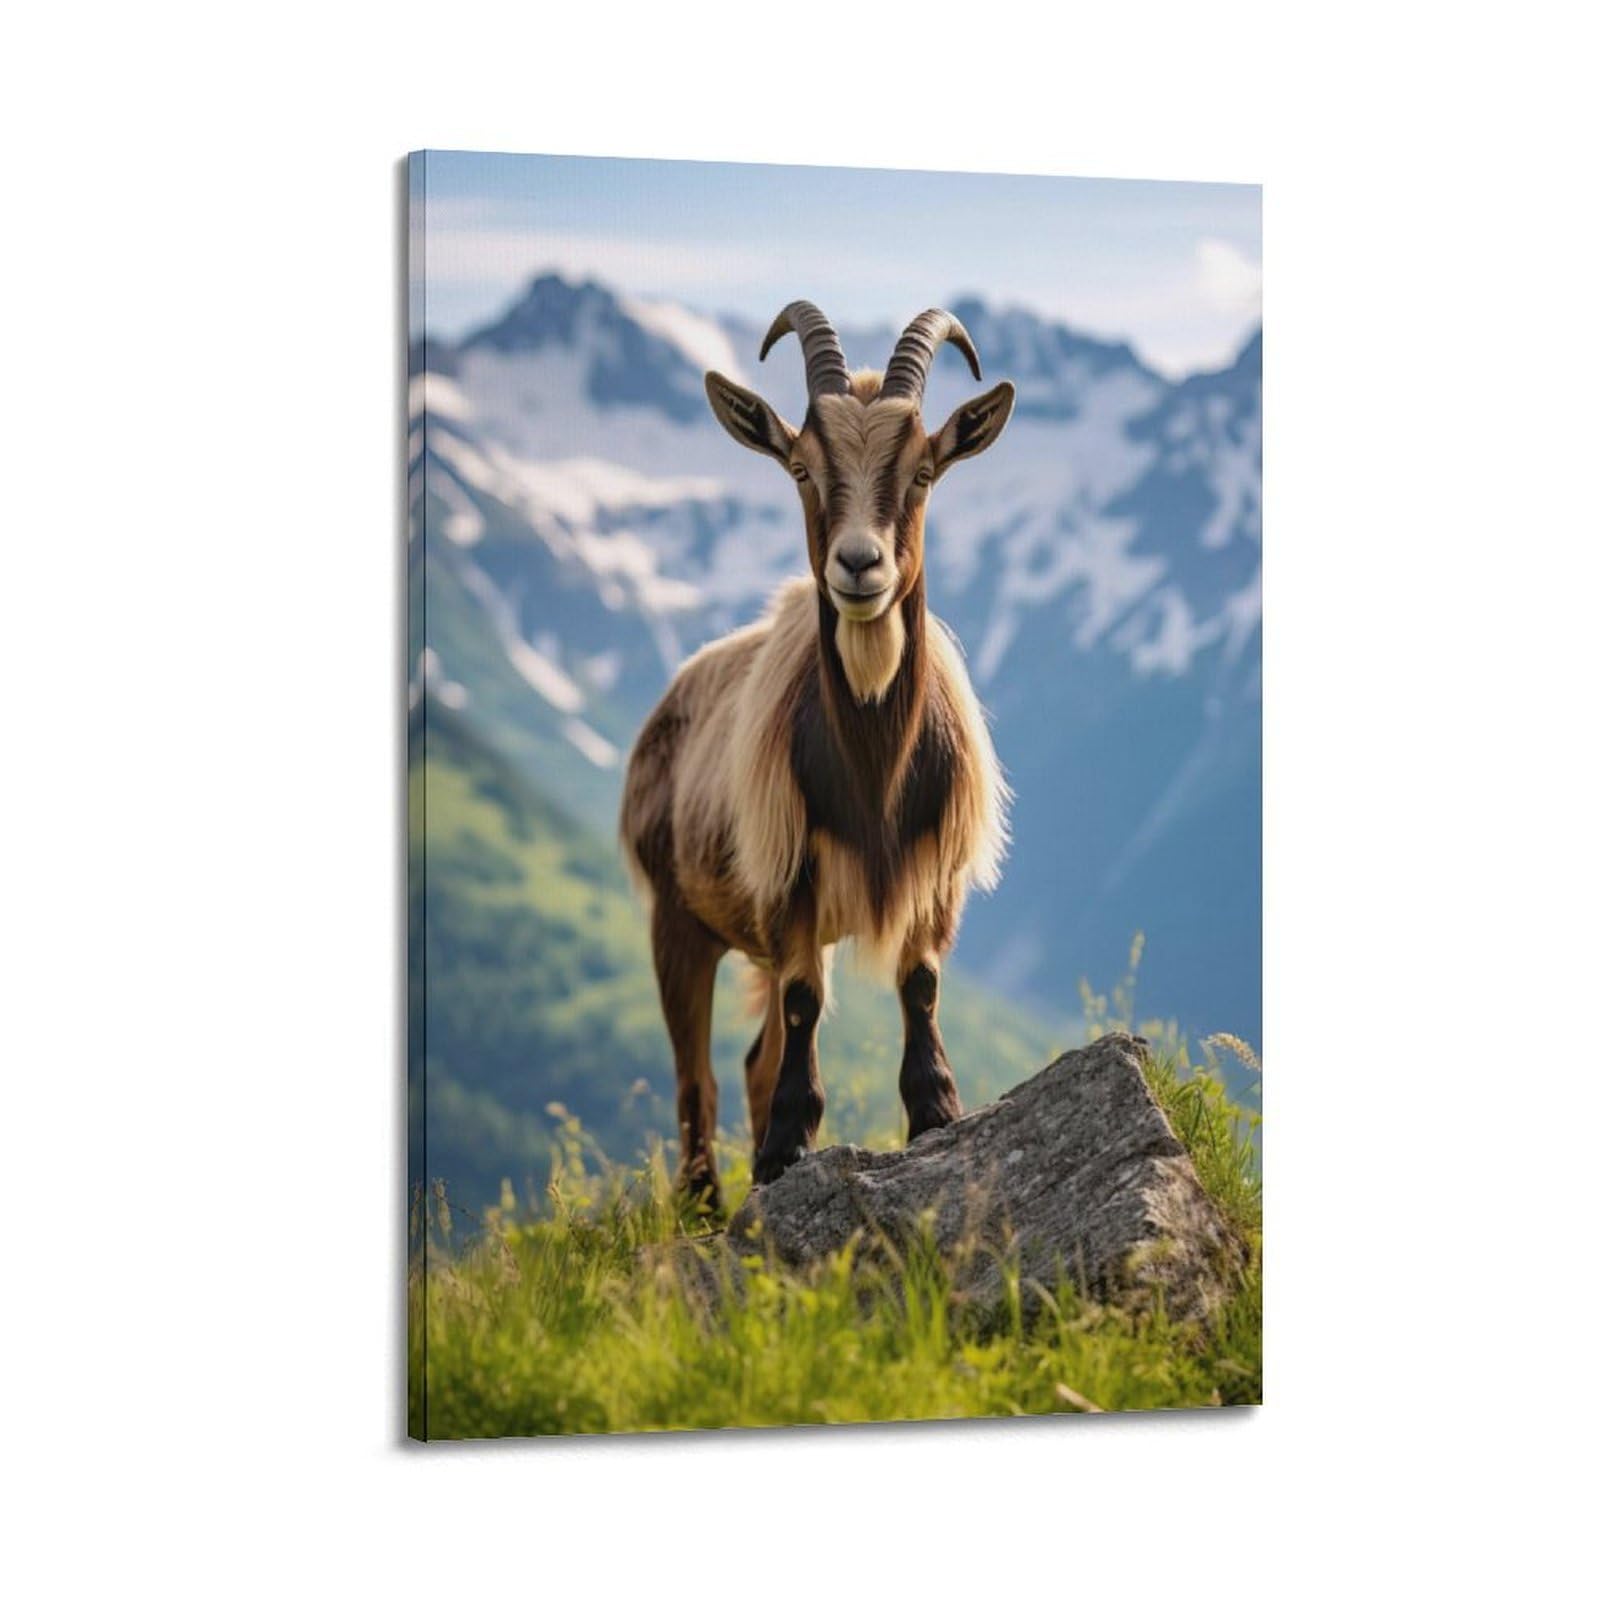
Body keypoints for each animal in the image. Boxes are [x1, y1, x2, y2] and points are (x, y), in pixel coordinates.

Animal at [620, 302, 1014, 1208]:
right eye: (801, 467)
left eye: (924, 472)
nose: (859, 565)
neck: (874, 776)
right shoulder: (787, 878)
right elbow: (803, 1002)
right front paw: (781, 1152)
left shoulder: (936, 872)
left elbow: (920, 982)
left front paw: (934, 1113)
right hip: (677, 919)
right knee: (699, 1075)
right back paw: (704, 1199)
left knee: (750, 1059)